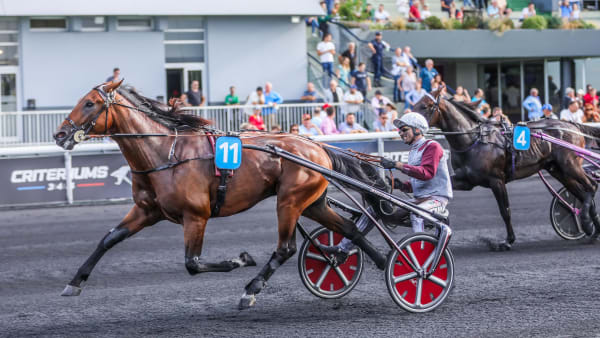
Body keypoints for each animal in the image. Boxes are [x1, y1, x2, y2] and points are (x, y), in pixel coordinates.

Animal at [52, 81, 394, 308]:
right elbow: (108, 239)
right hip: (313, 203)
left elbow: (193, 263)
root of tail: (318, 147)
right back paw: (385, 262)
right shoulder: (146, 211)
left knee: (286, 248)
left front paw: (239, 259)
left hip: (289, 201)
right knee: (350, 228)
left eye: (90, 103)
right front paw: (74, 283)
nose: (60, 134)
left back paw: (251, 289)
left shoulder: (196, 216)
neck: (165, 152)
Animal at [412, 88, 600, 250]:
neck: (474, 140)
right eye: (415, 104)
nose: (405, 124)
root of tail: (573, 126)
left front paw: (508, 241)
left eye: (425, 106)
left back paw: (587, 222)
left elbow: (505, 211)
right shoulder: (466, 180)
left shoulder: (496, 180)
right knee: (582, 194)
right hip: (559, 170)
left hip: (570, 165)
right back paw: (593, 230)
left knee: (591, 186)